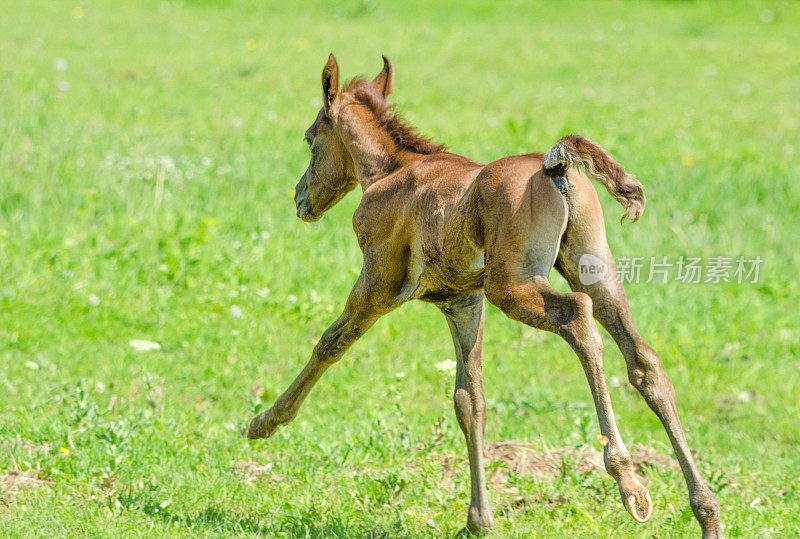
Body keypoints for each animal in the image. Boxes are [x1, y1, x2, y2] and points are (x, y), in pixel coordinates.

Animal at [245, 56, 724, 539]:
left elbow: (330, 343)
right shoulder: (462, 302)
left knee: (577, 318)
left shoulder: (379, 283)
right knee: (643, 362)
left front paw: (263, 422)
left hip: (512, 286)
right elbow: (469, 400)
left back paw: (628, 480)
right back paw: (706, 511)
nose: (301, 199)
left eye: (310, 139)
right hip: (596, 272)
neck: (392, 171)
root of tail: (556, 168)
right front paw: (478, 519)